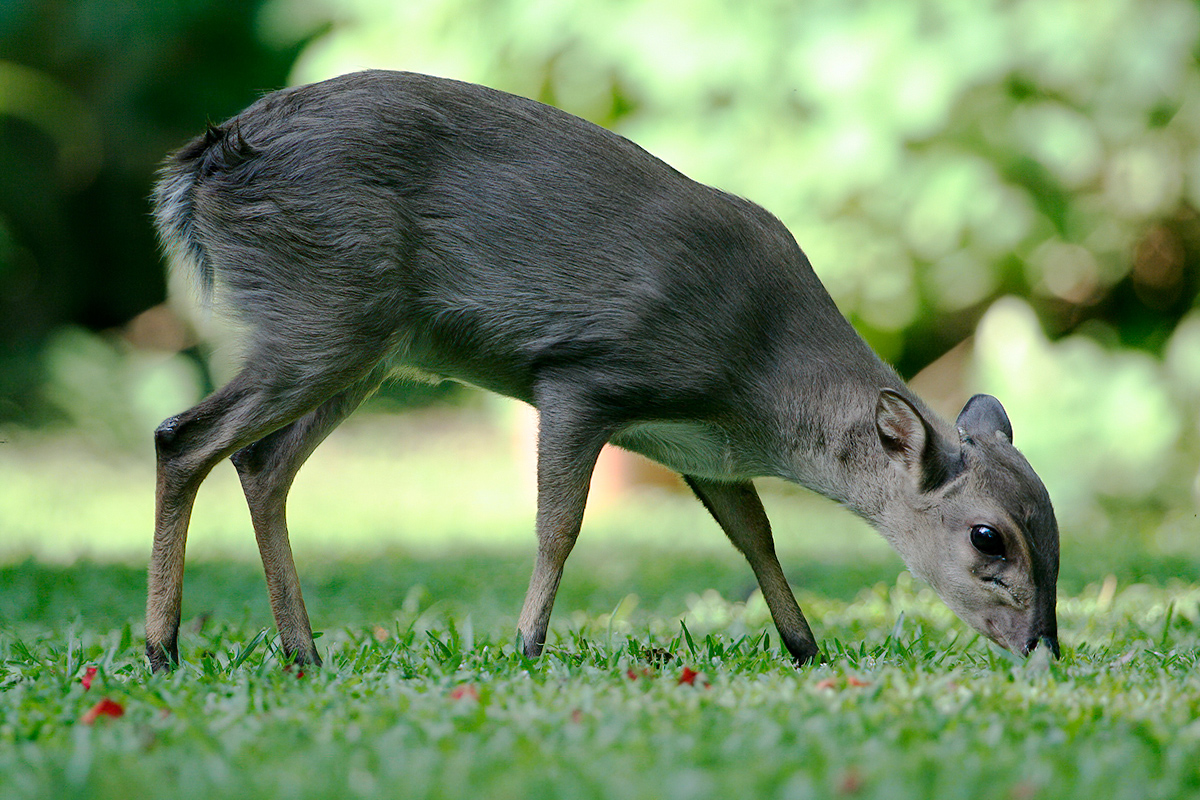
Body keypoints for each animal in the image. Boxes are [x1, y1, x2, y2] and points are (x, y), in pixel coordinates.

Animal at [147, 68, 1060, 671]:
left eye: (1052, 531)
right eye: (988, 536)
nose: (1043, 648)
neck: (758, 381)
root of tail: (206, 162)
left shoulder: (700, 448)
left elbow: (755, 535)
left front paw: (804, 644)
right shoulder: (584, 378)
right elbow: (560, 525)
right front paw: (525, 645)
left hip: (361, 345)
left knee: (261, 463)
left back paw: (300, 652)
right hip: (324, 313)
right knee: (181, 435)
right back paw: (163, 647)